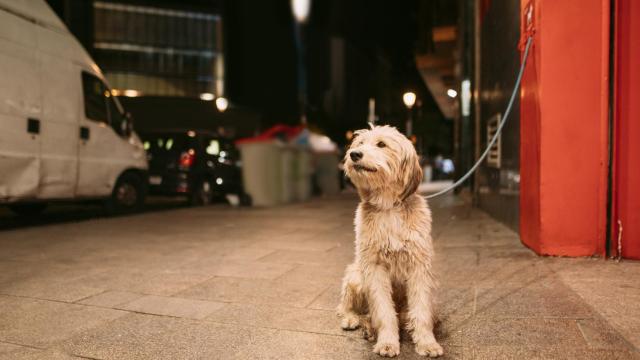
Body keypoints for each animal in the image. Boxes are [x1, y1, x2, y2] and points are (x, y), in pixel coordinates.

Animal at [338, 124, 442, 358]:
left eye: (381, 144)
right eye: (360, 143)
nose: (354, 154)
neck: (388, 207)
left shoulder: (419, 268)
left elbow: (421, 311)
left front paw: (427, 342)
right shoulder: (375, 269)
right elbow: (384, 312)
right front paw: (387, 342)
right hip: (356, 275)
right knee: (346, 306)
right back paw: (354, 320)